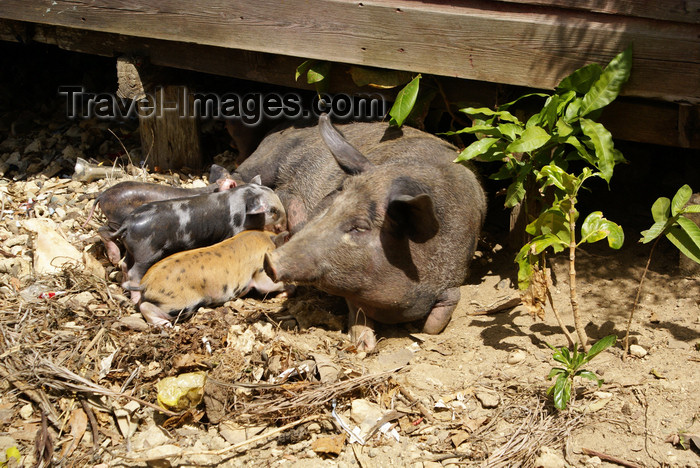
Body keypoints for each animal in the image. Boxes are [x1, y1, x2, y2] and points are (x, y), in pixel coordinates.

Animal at [116, 176, 286, 300]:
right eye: (273, 211)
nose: (284, 226)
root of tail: (127, 224)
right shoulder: (234, 231)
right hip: (146, 253)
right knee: (133, 273)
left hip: (132, 250)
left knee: (124, 264)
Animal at [260, 115, 484, 352]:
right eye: (330, 205)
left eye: (359, 227)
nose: (269, 260)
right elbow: (357, 310)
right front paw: (363, 345)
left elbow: (436, 321)